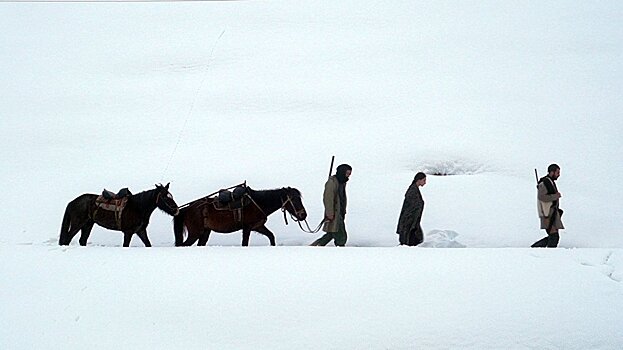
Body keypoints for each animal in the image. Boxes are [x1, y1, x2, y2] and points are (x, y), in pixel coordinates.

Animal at [173, 186, 308, 246]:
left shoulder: (258, 227)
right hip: (195, 233)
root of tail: (188, 208)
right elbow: (245, 243)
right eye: (294, 199)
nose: (303, 215)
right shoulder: (247, 228)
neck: (258, 203)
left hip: (205, 232)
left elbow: (271, 236)